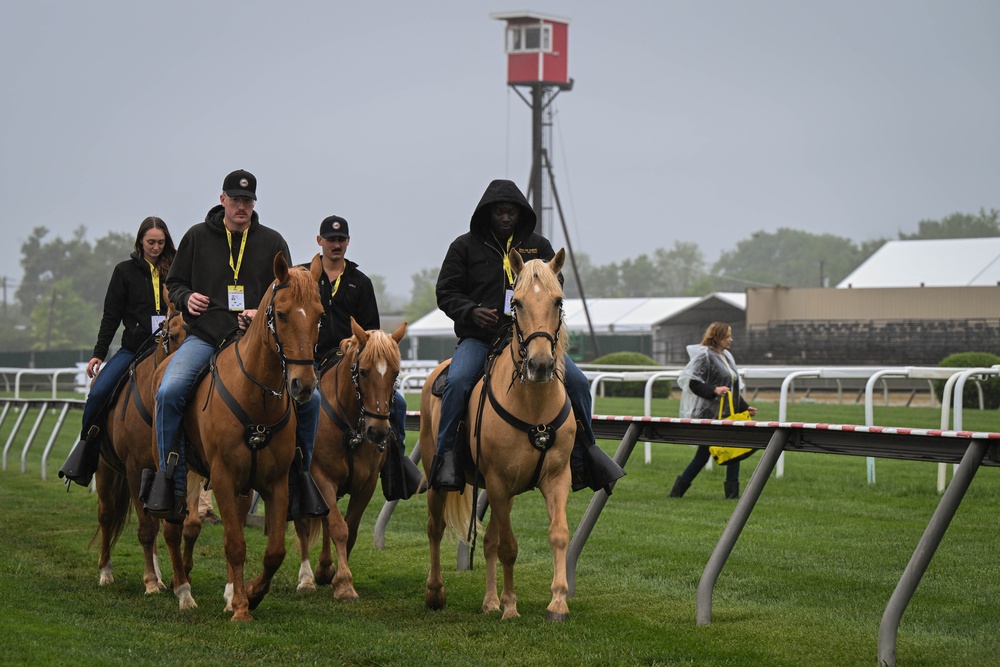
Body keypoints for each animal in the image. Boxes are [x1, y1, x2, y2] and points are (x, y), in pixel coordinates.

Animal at [92, 300, 188, 592]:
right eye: (171, 336)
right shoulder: (135, 469)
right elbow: (146, 530)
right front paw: (150, 582)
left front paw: (159, 578)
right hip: (104, 470)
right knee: (106, 515)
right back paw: (105, 571)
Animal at [155, 254, 324, 620]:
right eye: (282, 314)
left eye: (319, 314)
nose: (303, 385)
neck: (256, 399)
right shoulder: (222, 476)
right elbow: (234, 543)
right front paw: (242, 609)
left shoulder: (275, 482)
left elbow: (274, 551)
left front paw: (249, 593)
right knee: (172, 527)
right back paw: (182, 590)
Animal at [294, 318, 408, 600]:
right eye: (364, 372)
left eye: (395, 374)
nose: (378, 431)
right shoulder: (320, 477)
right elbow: (338, 527)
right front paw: (344, 583)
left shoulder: (366, 484)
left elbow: (350, 529)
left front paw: (336, 575)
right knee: (304, 525)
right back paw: (307, 579)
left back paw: (324, 568)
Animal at [420, 249, 576, 620]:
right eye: (516, 302)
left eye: (558, 301)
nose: (540, 366)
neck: (533, 406)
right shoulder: (499, 482)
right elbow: (508, 546)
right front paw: (511, 606)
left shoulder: (555, 477)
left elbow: (558, 534)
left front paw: (557, 602)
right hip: (438, 476)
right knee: (436, 528)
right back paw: (436, 593)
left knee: (488, 540)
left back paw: (489, 601)